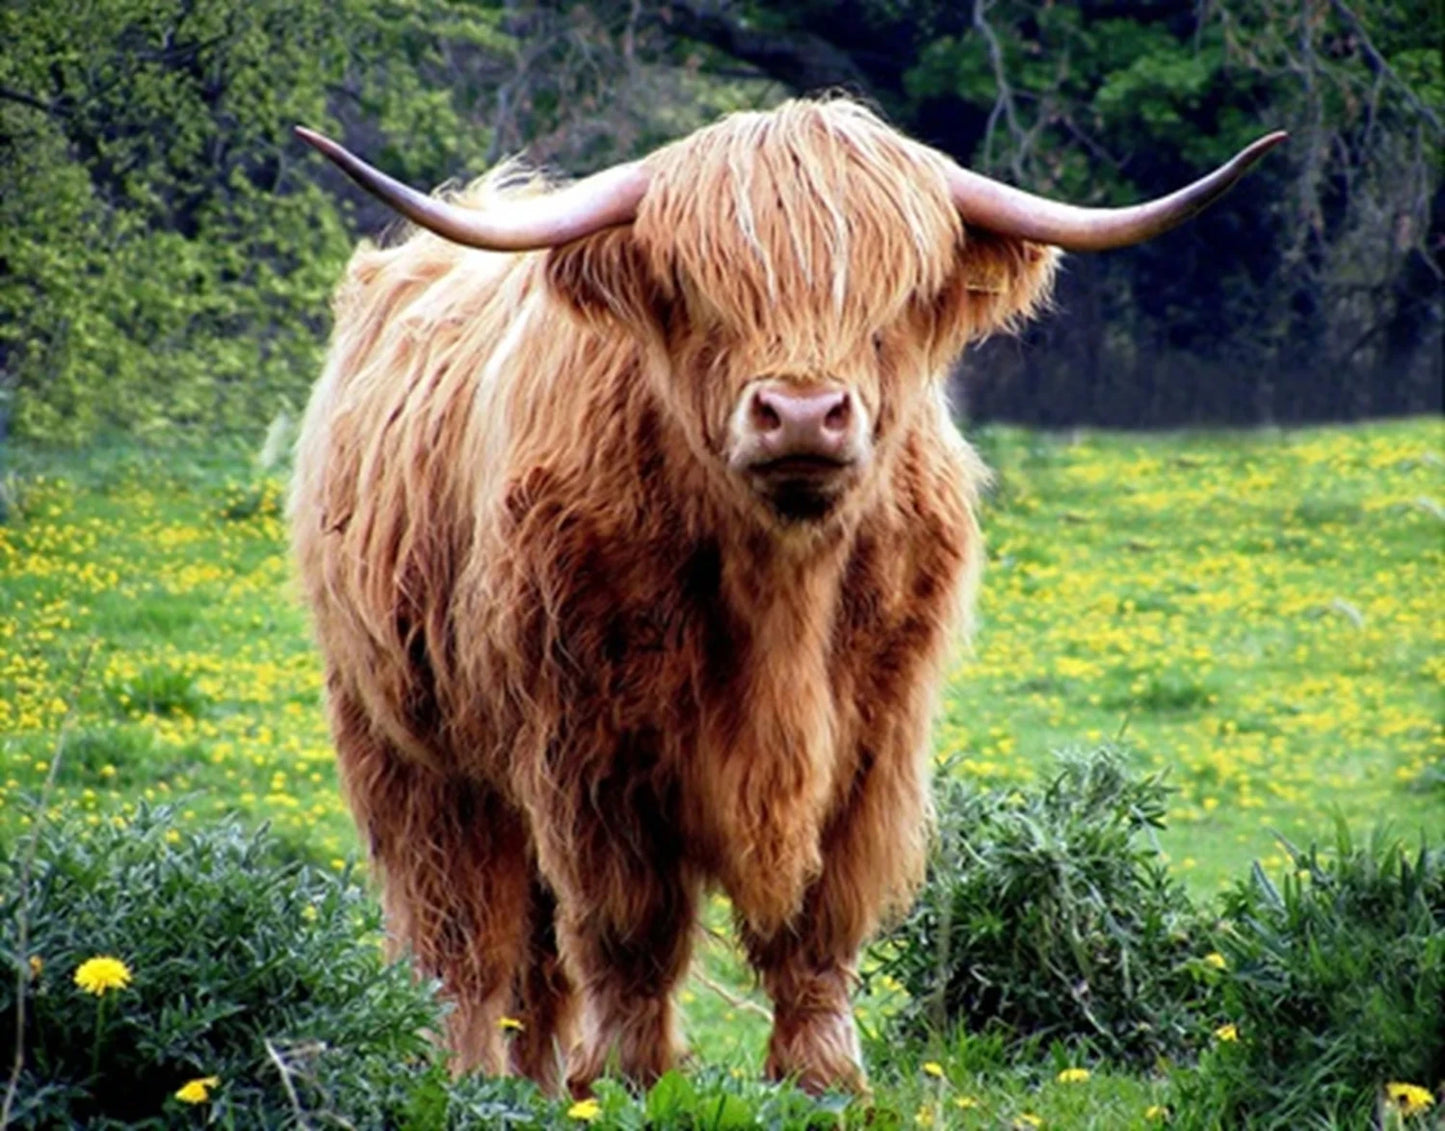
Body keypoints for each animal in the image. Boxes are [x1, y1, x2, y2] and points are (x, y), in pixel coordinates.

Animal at [290, 97, 1281, 1096]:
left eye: (891, 302)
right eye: (700, 293)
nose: (802, 414)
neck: (781, 595)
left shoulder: (871, 745)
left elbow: (820, 922)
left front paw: (823, 1075)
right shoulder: (589, 750)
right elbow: (628, 926)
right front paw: (627, 1078)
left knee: (529, 954)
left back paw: (531, 1076)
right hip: (405, 743)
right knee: (458, 929)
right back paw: (464, 1073)